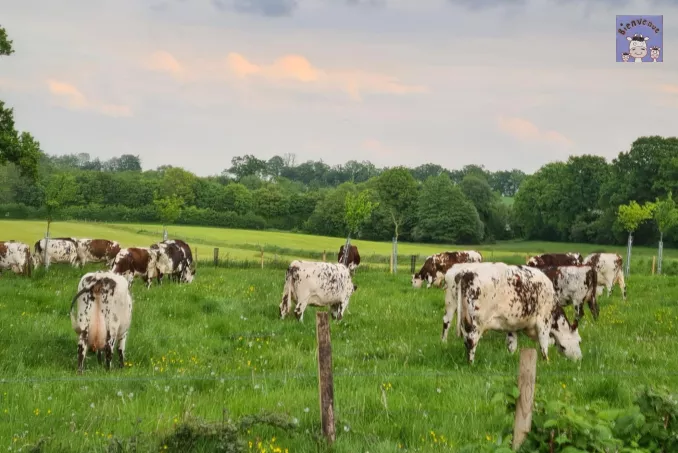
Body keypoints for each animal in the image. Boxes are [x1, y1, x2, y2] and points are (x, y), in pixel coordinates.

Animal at [443, 262, 582, 364]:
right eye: (579, 341)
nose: (580, 359)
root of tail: (465, 273)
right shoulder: (544, 321)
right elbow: (544, 344)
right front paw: (547, 362)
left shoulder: (512, 325)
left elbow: (512, 344)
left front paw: (511, 357)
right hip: (476, 322)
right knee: (471, 341)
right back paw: (471, 364)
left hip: (453, 307)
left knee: (449, 325)